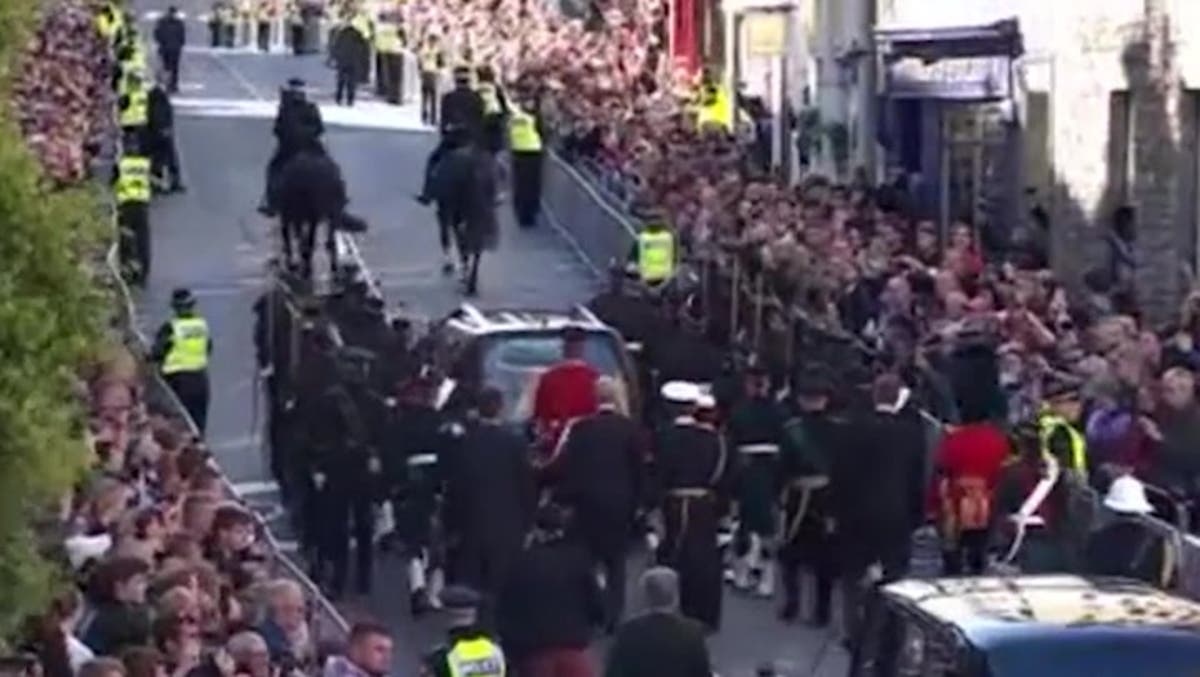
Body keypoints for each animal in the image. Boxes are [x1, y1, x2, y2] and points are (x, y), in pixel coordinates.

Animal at [279, 141, 350, 278]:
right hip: (330, 212)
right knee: (330, 239)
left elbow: (291, 237)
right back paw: (333, 265)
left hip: (303, 214)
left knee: (302, 239)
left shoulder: (292, 216)